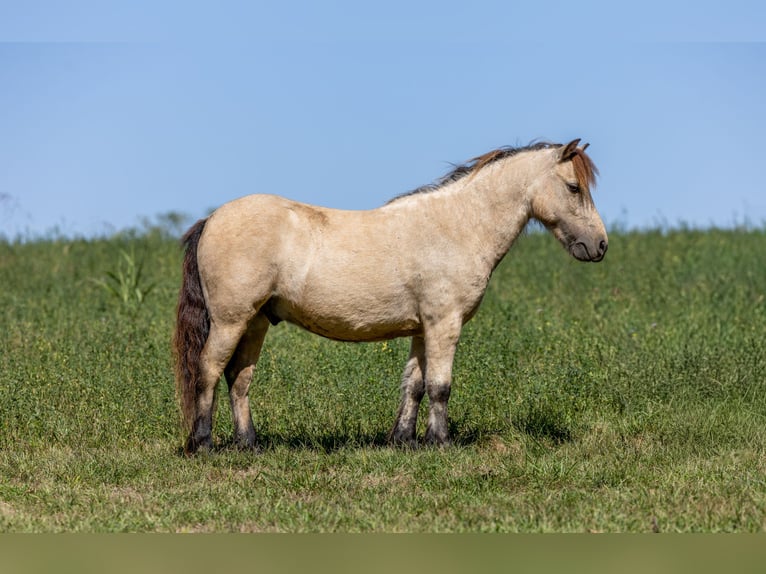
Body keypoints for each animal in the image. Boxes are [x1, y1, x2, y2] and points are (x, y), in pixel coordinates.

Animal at [173, 139, 608, 455]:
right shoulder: (444, 324)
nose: (600, 245)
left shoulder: (422, 328)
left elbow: (413, 384)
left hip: (257, 322)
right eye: (573, 187)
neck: (458, 226)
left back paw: (249, 444)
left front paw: (404, 441)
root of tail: (212, 219)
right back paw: (203, 444)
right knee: (209, 370)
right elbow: (440, 385)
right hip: (231, 321)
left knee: (239, 378)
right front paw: (441, 442)